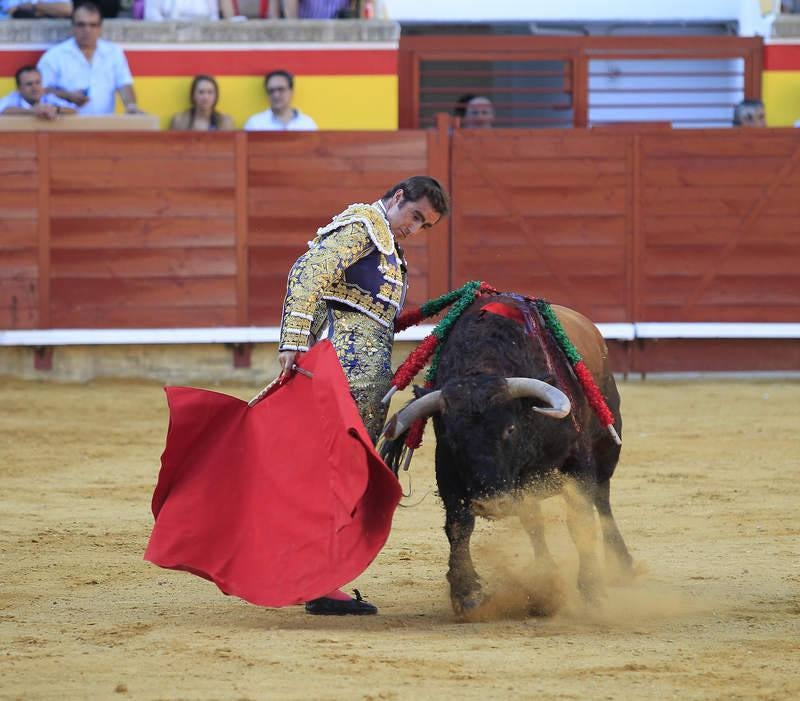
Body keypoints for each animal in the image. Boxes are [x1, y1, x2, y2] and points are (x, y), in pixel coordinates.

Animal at [378, 298, 636, 616]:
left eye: (510, 429)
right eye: (453, 438)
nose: (492, 503)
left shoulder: (578, 462)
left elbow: (581, 520)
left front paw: (592, 592)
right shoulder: (448, 469)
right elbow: (459, 525)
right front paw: (466, 594)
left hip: (606, 450)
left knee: (602, 501)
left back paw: (622, 566)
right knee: (534, 523)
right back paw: (545, 581)